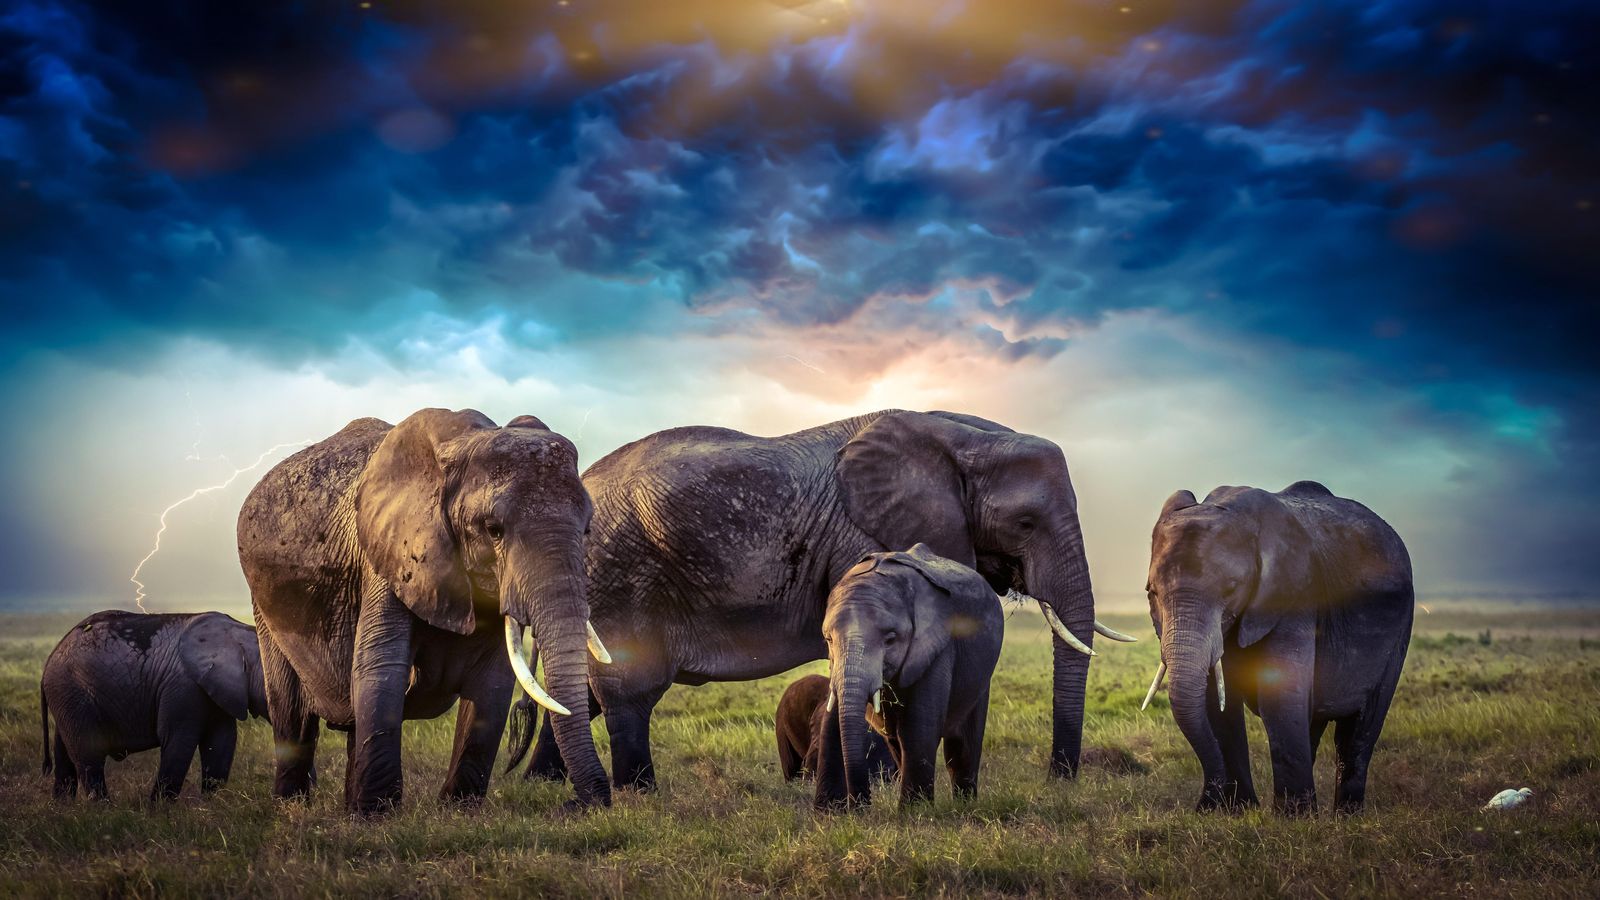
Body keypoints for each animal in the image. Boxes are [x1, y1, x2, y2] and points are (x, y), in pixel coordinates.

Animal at [40, 611, 268, 801]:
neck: (237, 635)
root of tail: (50, 658)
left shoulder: (219, 693)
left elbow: (221, 743)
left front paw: (212, 807)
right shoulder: (182, 688)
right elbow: (178, 743)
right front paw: (160, 813)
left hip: (66, 698)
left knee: (64, 759)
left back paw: (63, 809)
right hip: (72, 692)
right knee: (89, 757)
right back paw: (104, 811)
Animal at [237, 408, 612, 814]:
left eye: (587, 529)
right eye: (494, 530)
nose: (577, 804)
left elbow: (493, 681)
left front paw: (458, 809)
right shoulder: (389, 557)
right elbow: (381, 667)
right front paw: (375, 816)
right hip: (264, 603)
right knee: (291, 711)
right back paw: (292, 805)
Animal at [813, 544, 1004, 809]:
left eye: (891, 639)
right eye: (828, 639)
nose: (862, 807)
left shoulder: (938, 645)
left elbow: (918, 725)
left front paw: (915, 812)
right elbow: (832, 718)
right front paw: (830, 812)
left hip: (980, 677)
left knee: (962, 745)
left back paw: (965, 805)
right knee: (897, 743)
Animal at [1144, 481, 1414, 814]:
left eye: (1231, 589)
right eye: (1152, 592)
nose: (1204, 802)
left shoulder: (1295, 595)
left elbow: (1280, 694)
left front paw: (1291, 817)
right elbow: (1215, 701)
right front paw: (1234, 811)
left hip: (1400, 628)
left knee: (1361, 727)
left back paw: (1346, 815)